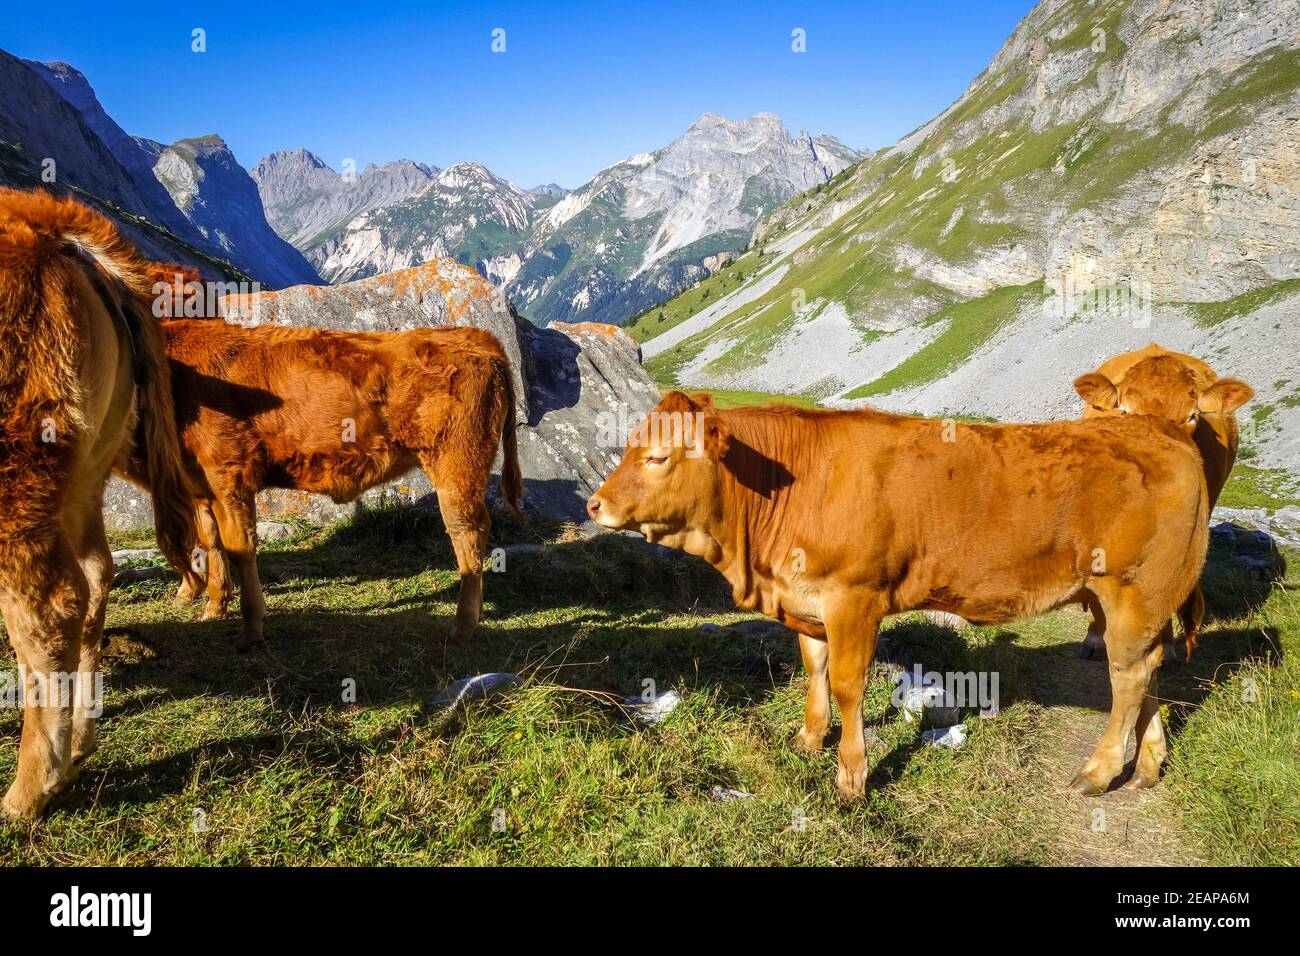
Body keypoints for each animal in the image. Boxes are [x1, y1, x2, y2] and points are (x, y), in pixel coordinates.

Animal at [0, 188, 195, 822]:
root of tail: (48, 225)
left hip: (22, 470)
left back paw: (30, 789)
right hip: (83, 476)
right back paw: (78, 740)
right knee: (92, 578)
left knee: (49, 607)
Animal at [125, 312, 522, 650]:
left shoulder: (228, 474)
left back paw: (462, 628)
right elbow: (211, 541)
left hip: (456, 464)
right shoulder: (199, 484)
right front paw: (214, 607)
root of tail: (477, 337)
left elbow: (240, 547)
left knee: (467, 532)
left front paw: (251, 628)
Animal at [590, 392, 1206, 806]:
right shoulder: (807, 602)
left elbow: (847, 683)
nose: (596, 504)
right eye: (630, 445)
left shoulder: (853, 597)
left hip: (1134, 591)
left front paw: (852, 777)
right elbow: (813, 668)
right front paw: (809, 738)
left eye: (658, 457)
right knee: (1150, 668)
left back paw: (1099, 772)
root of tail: (1160, 431)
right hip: (1122, 600)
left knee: (1127, 677)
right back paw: (1149, 763)